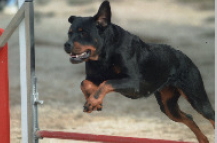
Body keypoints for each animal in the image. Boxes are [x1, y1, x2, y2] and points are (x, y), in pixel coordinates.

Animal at [63, 0, 214, 142]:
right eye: (69, 33)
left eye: (84, 33)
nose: (66, 45)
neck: (105, 54)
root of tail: (186, 58)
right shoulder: (96, 78)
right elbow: (85, 83)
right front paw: (94, 101)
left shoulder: (134, 83)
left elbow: (107, 83)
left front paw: (93, 101)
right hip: (168, 106)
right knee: (189, 117)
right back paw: (203, 140)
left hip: (197, 98)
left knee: (211, 116)